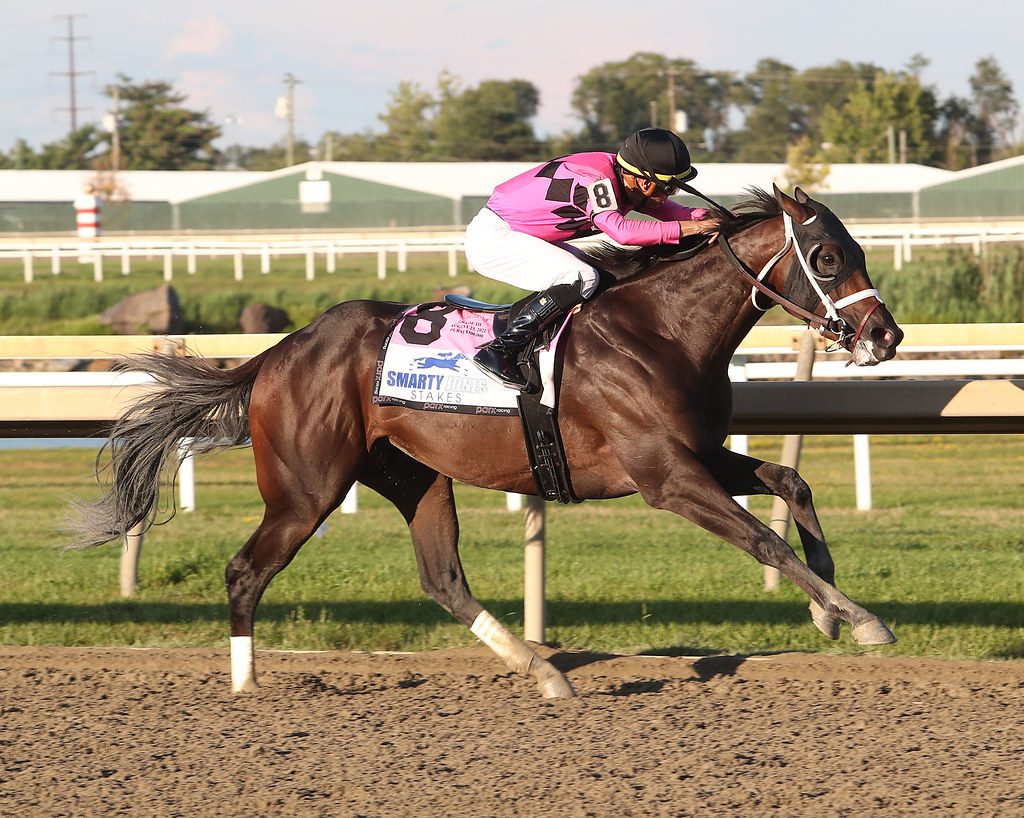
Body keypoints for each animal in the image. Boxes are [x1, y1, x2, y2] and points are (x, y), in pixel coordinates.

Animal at [68, 185, 905, 696]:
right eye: (829, 257)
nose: (886, 336)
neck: (661, 330)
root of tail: (277, 354)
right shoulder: (665, 475)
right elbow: (763, 539)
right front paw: (862, 617)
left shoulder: (694, 455)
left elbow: (790, 483)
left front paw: (829, 608)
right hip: (307, 488)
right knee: (246, 571)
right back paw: (245, 685)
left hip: (414, 476)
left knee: (442, 580)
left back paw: (544, 673)